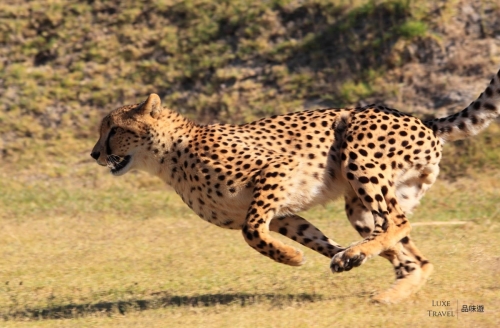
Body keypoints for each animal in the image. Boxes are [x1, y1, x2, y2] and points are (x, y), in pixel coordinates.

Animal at [91, 68, 500, 304]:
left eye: (113, 130)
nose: (95, 153)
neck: (169, 156)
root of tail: (423, 119)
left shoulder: (277, 169)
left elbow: (251, 231)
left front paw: (293, 257)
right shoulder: (284, 215)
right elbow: (311, 239)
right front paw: (316, 254)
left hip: (356, 152)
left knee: (398, 223)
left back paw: (363, 260)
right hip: (362, 205)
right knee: (409, 250)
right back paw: (388, 284)